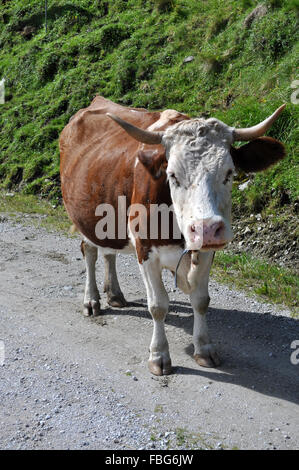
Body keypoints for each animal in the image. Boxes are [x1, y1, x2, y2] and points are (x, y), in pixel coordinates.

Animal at [59, 95, 288, 374]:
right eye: (173, 176)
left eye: (229, 173)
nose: (206, 228)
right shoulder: (145, 248)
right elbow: (158, 305)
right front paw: (159, 356)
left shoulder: (206, 252)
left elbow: (201, 300)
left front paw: (205, 349)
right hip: (83, 218)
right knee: (90, 252)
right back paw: (91, 301)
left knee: (108, 253)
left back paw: (114, 294)